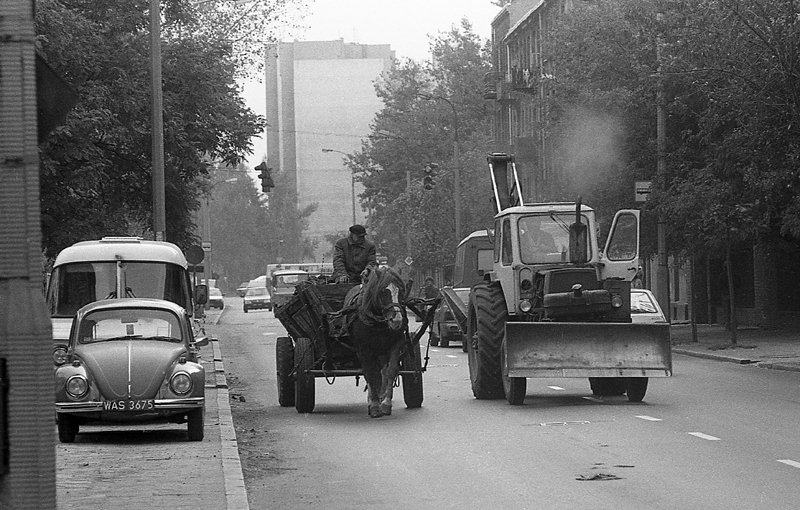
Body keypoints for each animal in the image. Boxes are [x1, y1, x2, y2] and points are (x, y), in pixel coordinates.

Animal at [342, 266, 410, 418]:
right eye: (383, 291)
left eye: (401, 291)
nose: (397, 320)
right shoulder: (364, 349)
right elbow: (371, 374)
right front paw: (374, 406)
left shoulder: (396, 344)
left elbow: (390, 371)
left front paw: (385, 404)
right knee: (371, 373)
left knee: (382, 372)